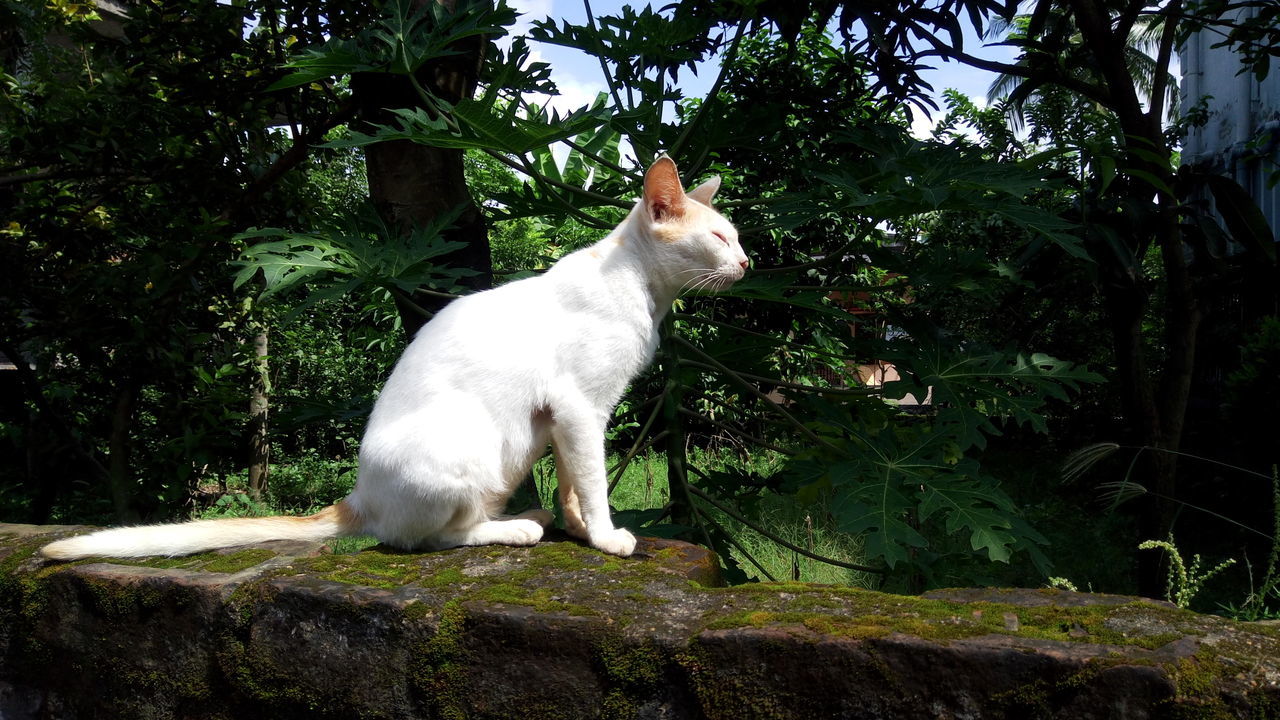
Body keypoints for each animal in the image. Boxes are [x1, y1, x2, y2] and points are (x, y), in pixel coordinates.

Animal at [42, 156, 747, 561]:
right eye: (718, 237)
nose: (746, 262)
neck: (643, 294)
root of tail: (357, 494)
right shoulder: (580, 409)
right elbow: (597, 482)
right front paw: (604, 538)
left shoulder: (570, 420)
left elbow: (578, 482)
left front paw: (577, 528)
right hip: (469, 442)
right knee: (423, 538)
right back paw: (517, 528)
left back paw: (531, 515)